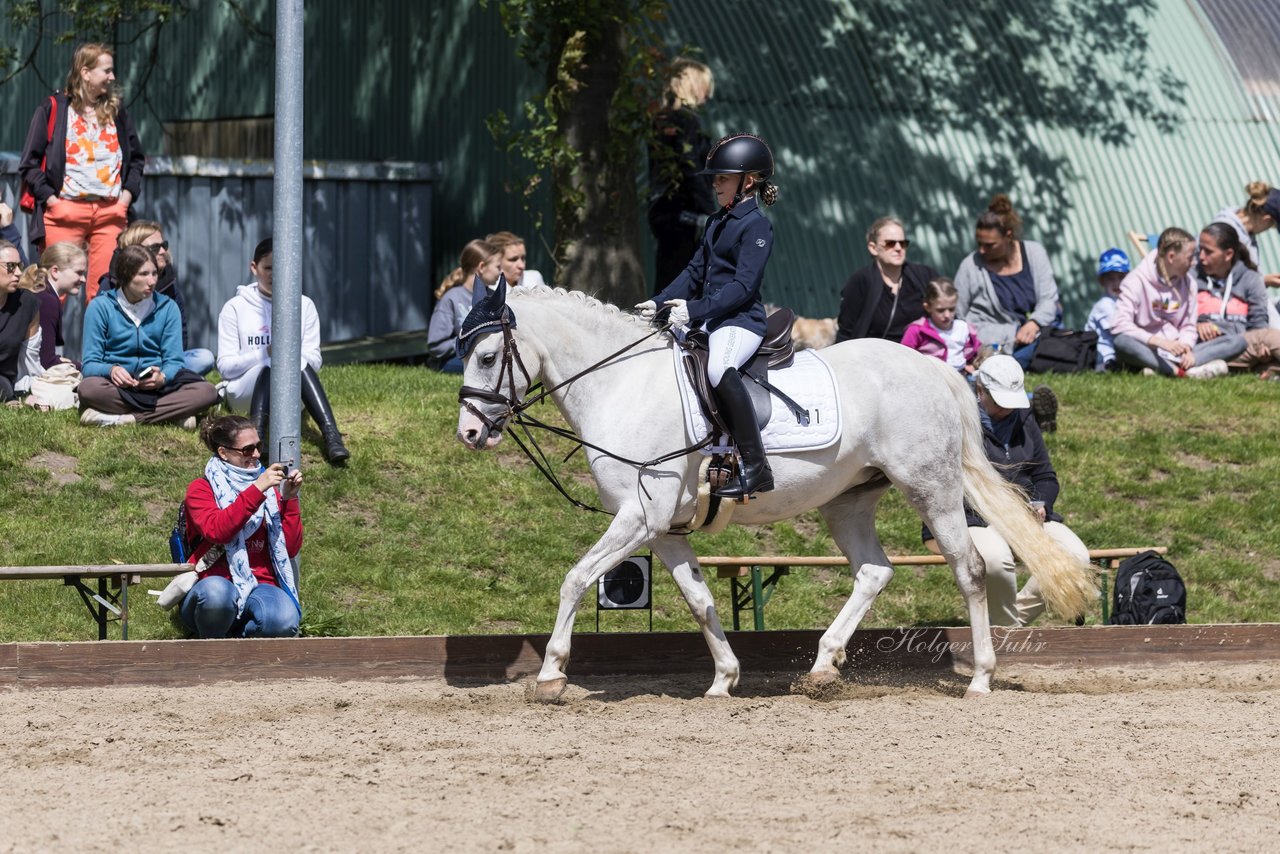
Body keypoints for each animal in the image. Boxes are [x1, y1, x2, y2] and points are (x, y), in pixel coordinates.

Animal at [455, 284, 1095, 696]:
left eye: (486, 355)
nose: (469, 433)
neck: (623, 385)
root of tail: (932, 367)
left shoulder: (639, 519)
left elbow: (575, 578)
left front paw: (550, 675)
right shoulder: (661, 530)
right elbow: (700, 600)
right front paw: (723, 679)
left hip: (931, 488)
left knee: (968, 569)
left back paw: (982, 677)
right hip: (848, 501)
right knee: (874, 572)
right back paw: (821, 668)